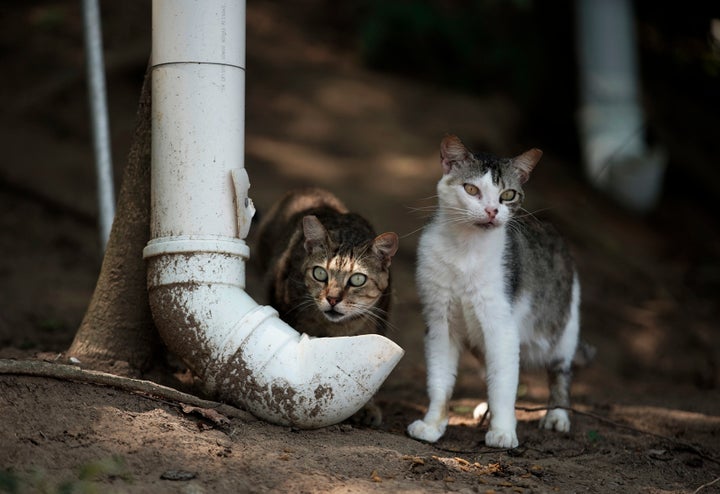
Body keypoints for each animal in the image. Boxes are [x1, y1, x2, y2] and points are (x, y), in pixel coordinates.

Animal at [408, 134, 584, 448]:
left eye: (508, 195)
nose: (492, 210)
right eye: (471, 189)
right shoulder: (440, 321)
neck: (465, 249)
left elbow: (503, 383)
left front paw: (503, 431)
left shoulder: (501, 325)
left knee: (560, 371)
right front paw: (432, 424)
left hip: (564, 327)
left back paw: (557, 416)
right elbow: (440, 380)